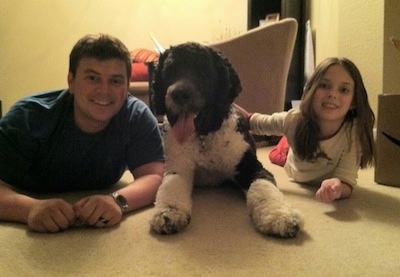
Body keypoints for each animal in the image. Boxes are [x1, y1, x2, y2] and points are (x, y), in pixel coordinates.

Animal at [150, 42, 304, 236]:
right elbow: (170, 185)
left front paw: (278, 215)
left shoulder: (251, 167)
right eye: (169, 71)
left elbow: (263, 186)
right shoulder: (178, 168)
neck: (205, 135)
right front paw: (168, 212)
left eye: (204, 71)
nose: (177, 94)